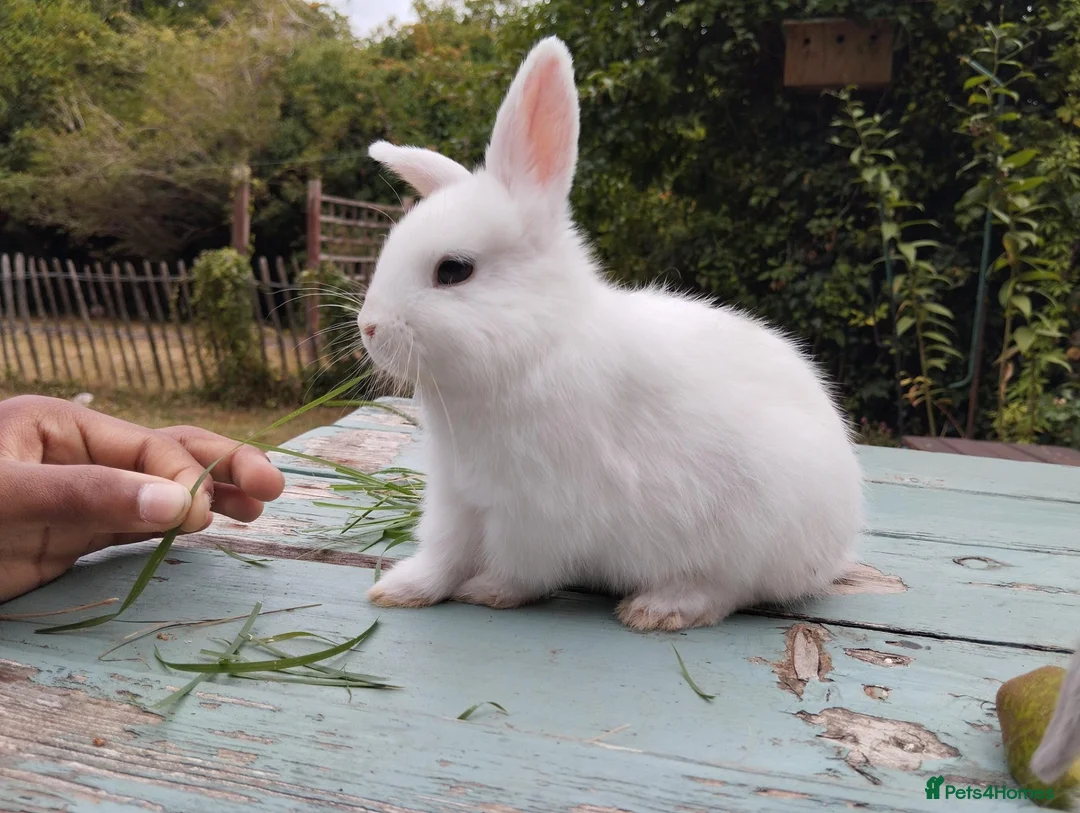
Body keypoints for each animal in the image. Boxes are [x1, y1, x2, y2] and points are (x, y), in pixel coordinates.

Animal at [356, 36, 864, 631]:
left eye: (453, 270)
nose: (368, 328)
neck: (536, 345)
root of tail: (839, 538)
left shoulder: (537, 511)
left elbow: (519, 569)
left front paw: (488, 592)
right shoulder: (457, 496)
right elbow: (444, 552)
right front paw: (399, 589)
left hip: (755, 529)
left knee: (729, 590)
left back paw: (658, 609)